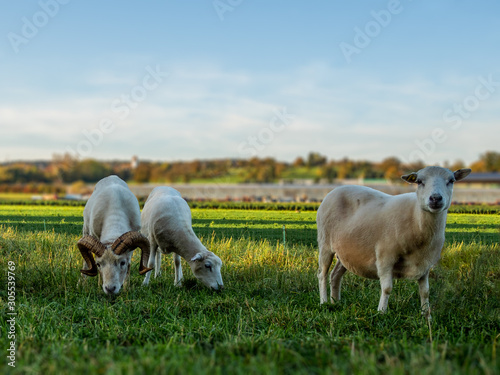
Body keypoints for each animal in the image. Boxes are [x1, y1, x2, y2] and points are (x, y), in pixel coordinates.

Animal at [318, 167, 470, 318]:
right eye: (419, 181)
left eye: (451, 181)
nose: (435, 198)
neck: (417, 219)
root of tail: (334, 190)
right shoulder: (385, 256)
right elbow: (387, 288)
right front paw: (381, 312)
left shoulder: (425, 263)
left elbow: (425, 292)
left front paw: (426, 316)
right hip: (324, 244)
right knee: (322, 275)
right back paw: (324, 302)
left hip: (346, 252)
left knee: (335, 275)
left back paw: (335, 302)